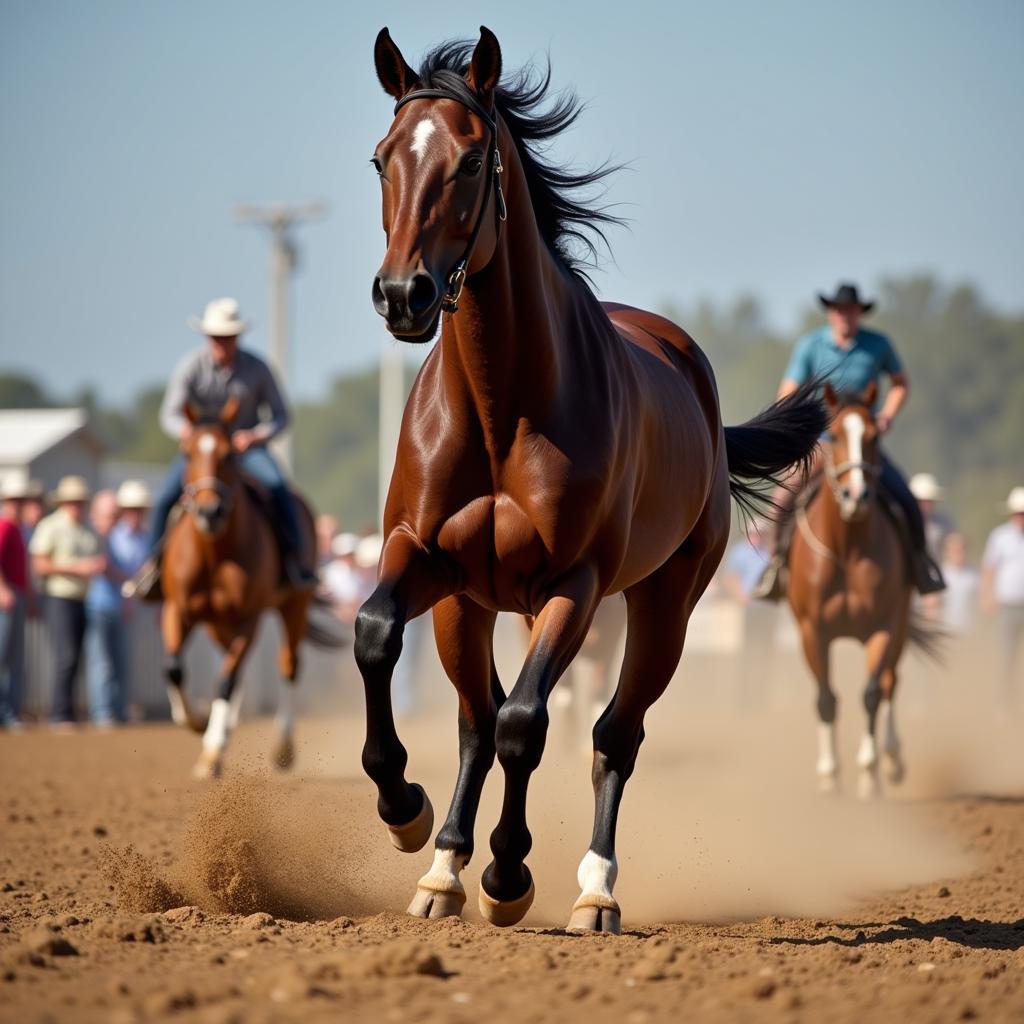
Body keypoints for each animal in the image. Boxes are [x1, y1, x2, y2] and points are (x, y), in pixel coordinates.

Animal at [159, 397, 327, 774]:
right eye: (188, 452)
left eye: (229, 454)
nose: (209, 512)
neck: (214, 553)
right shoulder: (177, 609)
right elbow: (175, 669)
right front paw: (197, 722)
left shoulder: (248, 618)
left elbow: (227, 679)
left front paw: (211, 744)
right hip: (216, 624)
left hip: (294, 605)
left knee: (287, 665)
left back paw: (281, 747)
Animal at [356, 25, 827, 937]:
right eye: (382, 158)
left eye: (471, 160)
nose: (403, 295)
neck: (503, 409)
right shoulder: (423, 555)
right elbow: (376, 637)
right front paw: (405, 811)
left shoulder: (573, 585)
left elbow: (526, 723)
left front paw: (509, 875)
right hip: (470, 604)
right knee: (473, 719)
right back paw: (440, 873)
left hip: (666, 604)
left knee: (613, 733)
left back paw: (593, 890)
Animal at [782, 385, 929, 798]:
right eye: (832, 436)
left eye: (874, 436)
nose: (856, 495)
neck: (846, 549)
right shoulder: (812, 630)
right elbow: (826, 698)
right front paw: (830, 775)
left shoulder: (884, 626)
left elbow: (872, 693)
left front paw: (869, 773)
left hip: (900, 625)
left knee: (891, 683)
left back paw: (892, 759)